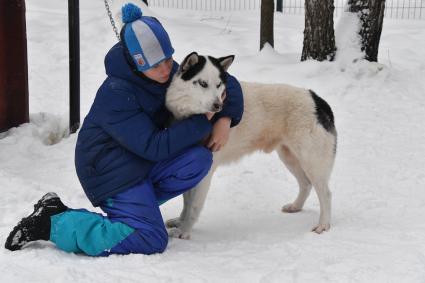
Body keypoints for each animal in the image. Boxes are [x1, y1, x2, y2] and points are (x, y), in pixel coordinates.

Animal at [164, 52, 336, 240]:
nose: (219, 106)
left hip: (311, 162)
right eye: (203, 83)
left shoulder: (206, 172)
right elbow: (186, 202)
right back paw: (295, 207)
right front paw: (180, 222)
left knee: (325, 194)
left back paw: (323, 225)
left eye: (219, 85)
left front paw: (184, 231)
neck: (193, 116)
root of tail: (317, 100)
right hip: (289, 158)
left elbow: (193, 206)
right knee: (306, 184)